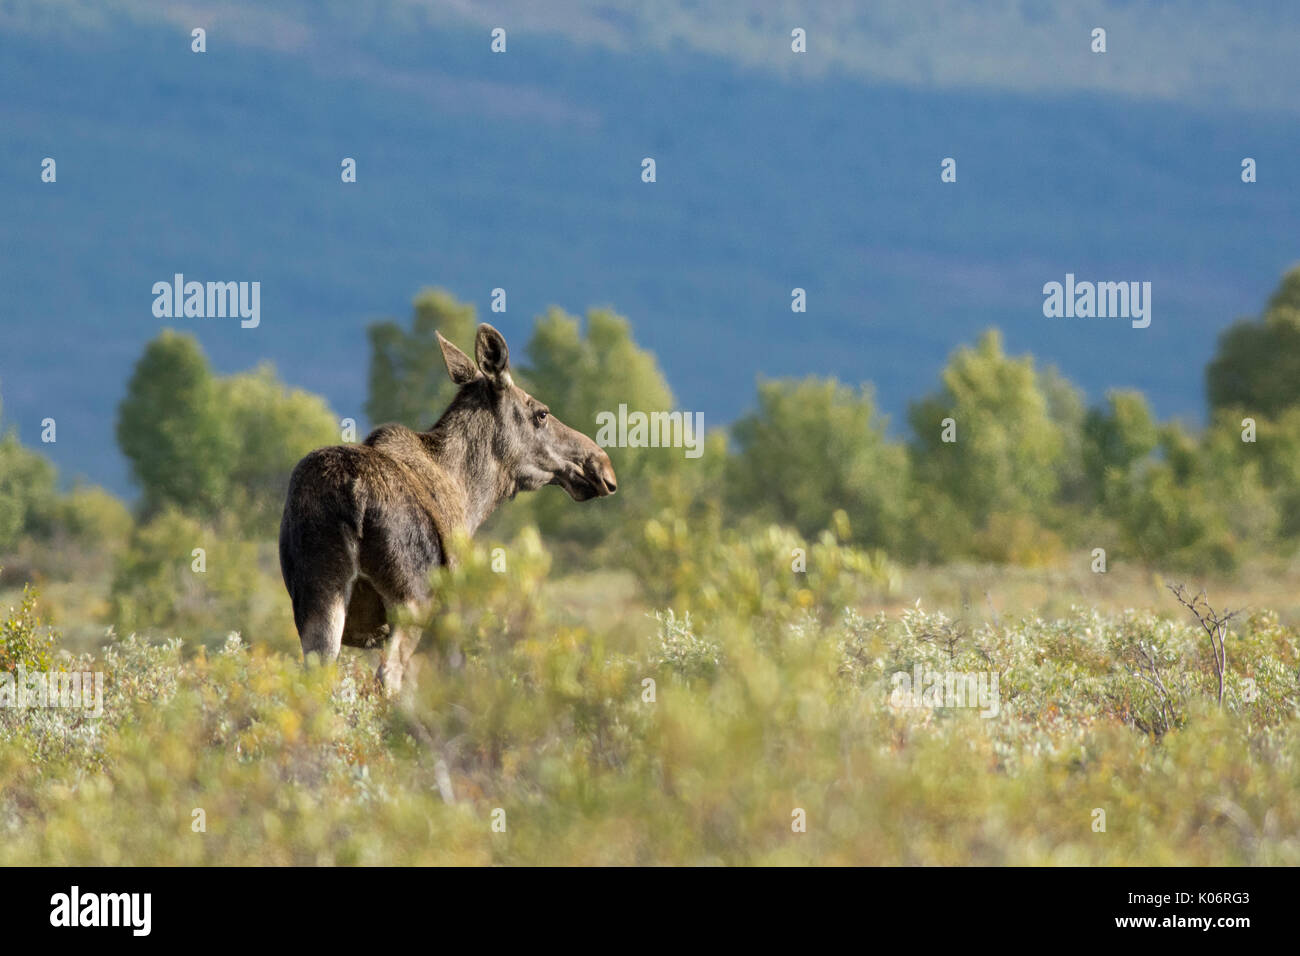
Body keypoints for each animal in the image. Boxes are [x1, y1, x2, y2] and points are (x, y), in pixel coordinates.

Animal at [275, 325, 618, 691]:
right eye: (541, 413)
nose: (601, 466)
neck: (472, 496)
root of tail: (351, 495)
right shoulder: (450, 610)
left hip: (318, 594)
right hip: (411, 599)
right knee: (388, 675)